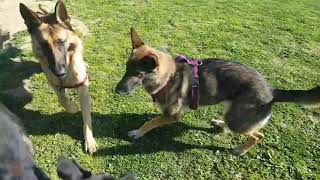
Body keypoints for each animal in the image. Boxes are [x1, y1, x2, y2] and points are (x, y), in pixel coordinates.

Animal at [18, 0, 96, 154]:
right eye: (44, 45)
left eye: (61, 42)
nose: (60, 72)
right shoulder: (54, 83)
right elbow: (63, 100)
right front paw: (72, 107)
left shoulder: (83, 89)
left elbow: (87, 120)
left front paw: (89, 141)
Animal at [116, 28, 320, 156]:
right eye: (126, 68)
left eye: (137, 74)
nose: (116, 90)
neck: (168, 76)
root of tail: (271, 91)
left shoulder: (172, 116)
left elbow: (150, 122)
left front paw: (138, 132)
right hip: (231, 112)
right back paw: (220, 124)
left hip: (238, 122)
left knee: (258, 135)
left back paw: (240, 150)